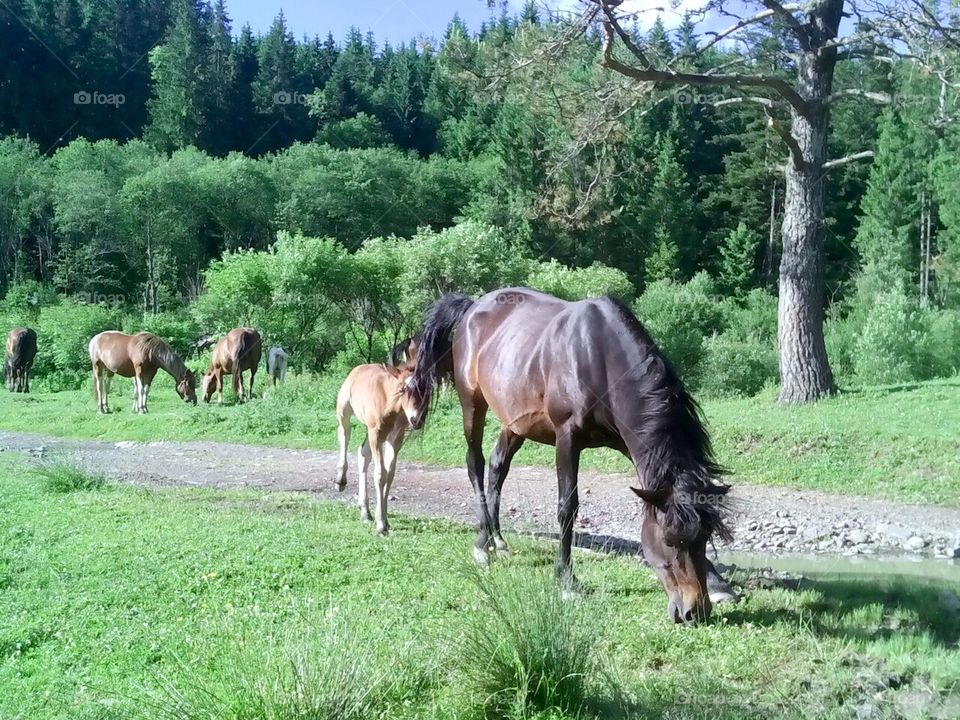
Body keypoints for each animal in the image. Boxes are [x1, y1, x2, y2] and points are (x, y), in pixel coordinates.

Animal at [340, 366, 426, 536]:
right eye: (402, 390)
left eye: (424, 388)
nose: (416, 420)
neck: (389, 402)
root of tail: (357, 369)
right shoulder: (376, 433)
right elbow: (380, 474)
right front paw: (380, 525)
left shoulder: (395, 437)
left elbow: (390, 474)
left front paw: (385, 520)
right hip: (344, 411)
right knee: (344, 435)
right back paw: (340, 480)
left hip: (370, 430)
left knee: (363, 453)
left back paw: (365, 511)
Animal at [410, 286, 736, 624]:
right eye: (669, 540)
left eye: (705, 536)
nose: (694, 611)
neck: (599, 360)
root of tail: (473, 307)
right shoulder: (567, 439)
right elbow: (568, 507)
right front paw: (567, 580)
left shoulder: (628, 443)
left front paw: (718, 584)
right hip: (472, 405)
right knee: (475, 464)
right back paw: (481, 544)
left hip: (515, 421)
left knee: (498, 467)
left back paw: (498, 540)